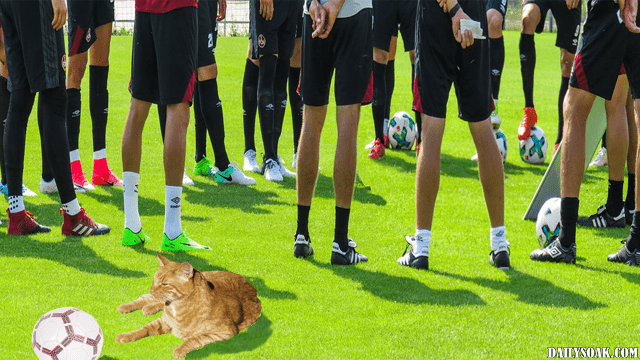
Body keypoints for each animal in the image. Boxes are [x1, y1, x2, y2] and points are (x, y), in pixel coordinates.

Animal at [114, 255, 260, 358]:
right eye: (154, 280)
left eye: (165, 284)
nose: (151, 289)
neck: (178, 307)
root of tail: (249, 283)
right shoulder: (163, 321)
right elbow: (143, 329)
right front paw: (127, 335)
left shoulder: (225, 332)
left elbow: (194, 338)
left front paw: (180, 349)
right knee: (146, 298)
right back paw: (127, 306)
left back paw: (148, 308)